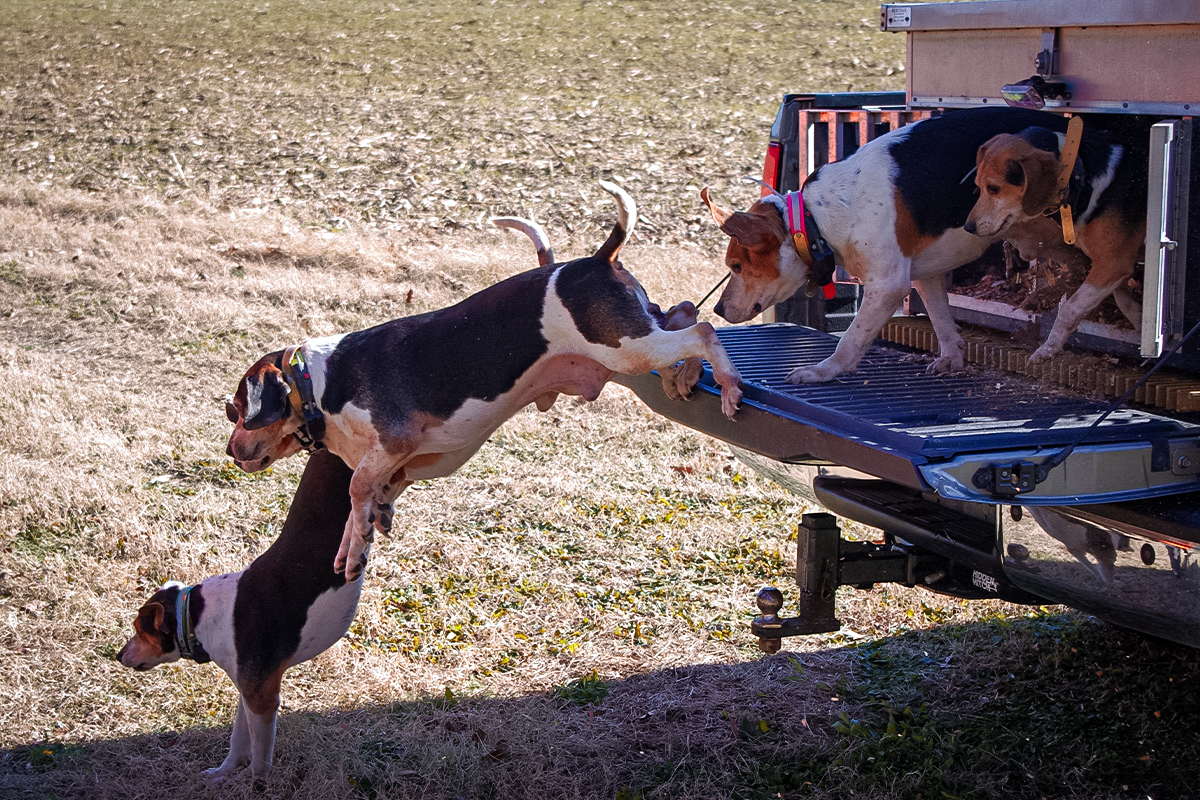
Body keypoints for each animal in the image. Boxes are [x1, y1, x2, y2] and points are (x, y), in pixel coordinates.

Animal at [117, 450, 360, 782]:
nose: (118, 655)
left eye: (140, 631)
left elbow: (259, 761)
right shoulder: (247, 692)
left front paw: (252, 783)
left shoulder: (262, 699)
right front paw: (224, 773)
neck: (197, 615)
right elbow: (238, 740)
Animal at [225, 181, 739, 582]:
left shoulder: (395, 442)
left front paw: (357, 543)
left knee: (703, 330)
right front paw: (359, 542)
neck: (316, 383)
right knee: (683, 313)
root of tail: (596, 259)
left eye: (239, 411)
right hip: (637, 335)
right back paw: (685, 375)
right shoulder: (409, 465)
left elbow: (355, 490)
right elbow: (364, 501)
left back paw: (729, 382)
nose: (230, 452)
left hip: (627, 348)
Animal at [700, 105, 1152, 381]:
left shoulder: (887, 287)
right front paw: (951, 358)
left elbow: (851, 339)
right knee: (1113, 281)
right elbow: (941, 321)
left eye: (736, 267)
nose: (718, 309)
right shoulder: (926, 276)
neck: (818, 217)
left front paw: (824, 371)